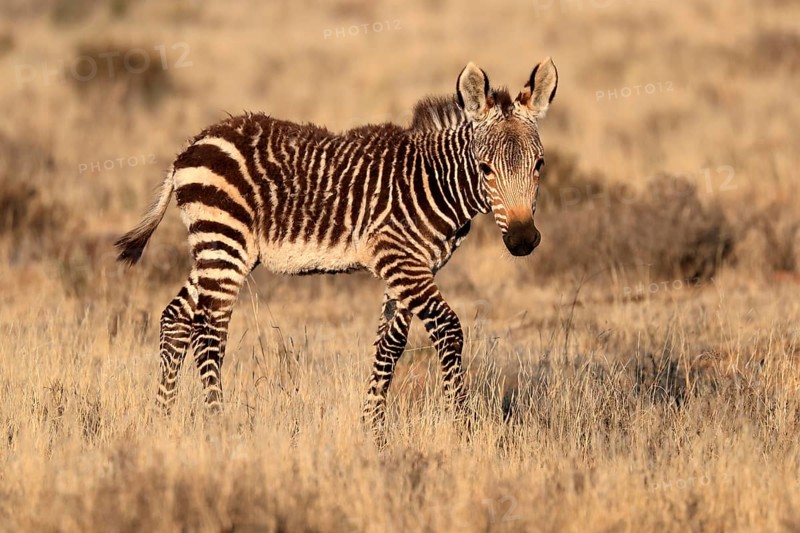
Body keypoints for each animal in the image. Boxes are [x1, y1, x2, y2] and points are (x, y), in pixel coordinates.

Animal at [115, 58, 558, 432]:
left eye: (539, 164)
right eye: (485, 168)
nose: (523, 240)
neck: (432, 182)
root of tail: (192, 145)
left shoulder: (412, 267)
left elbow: (390, 346)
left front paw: (372, 429)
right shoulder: (401, 261)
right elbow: (448, 331)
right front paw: (462, 426)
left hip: (218, 249)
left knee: (176, 318)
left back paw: (162, 419)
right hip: (224, 241)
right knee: (209, 331)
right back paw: (217, 423)